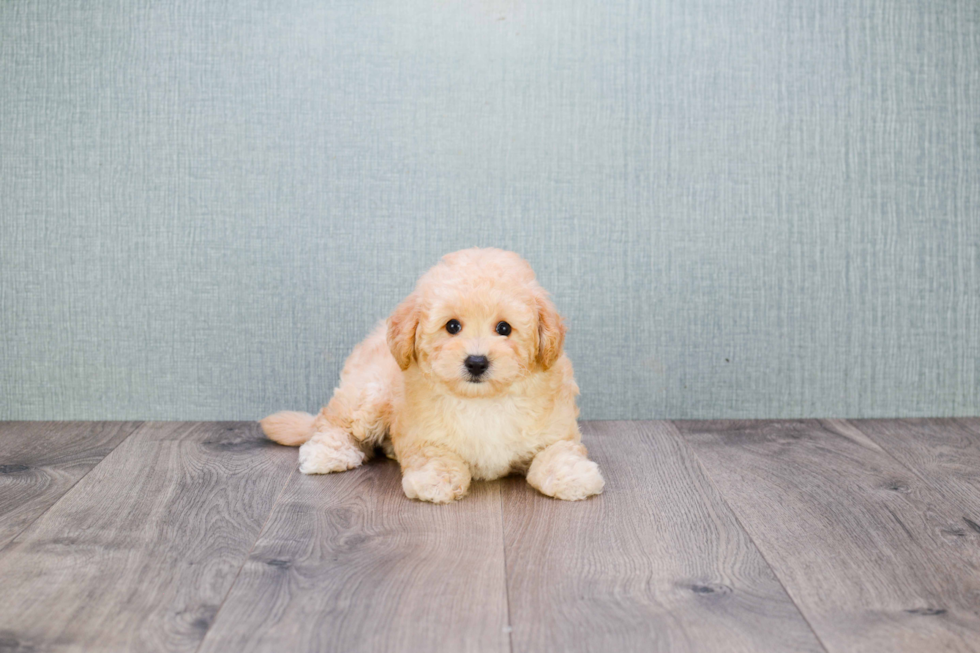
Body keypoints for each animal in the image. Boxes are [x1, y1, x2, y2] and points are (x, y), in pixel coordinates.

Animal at [258, 247, 604, 502]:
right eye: (452, 326)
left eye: (504, 328)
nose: (476, 362)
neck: (483, 401)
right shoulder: (422, 434)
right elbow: (435, 455)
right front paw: (437, 479)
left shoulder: (555, 430)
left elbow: (558, 451)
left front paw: (572, 475)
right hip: (369, 392)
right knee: (333, 422)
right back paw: (326, 453)